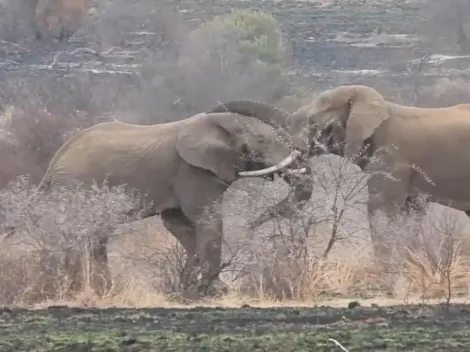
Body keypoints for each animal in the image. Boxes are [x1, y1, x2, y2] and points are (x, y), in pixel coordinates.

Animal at [22, 103, 306, 296]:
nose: (253, 225)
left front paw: (190, 289)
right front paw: (216, 292)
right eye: (261, 140)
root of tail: (55, 160)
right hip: (77, 185)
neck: (218, 124)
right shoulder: (191, 170)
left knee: (96, 238)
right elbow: (208, 219)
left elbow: (178, 224)